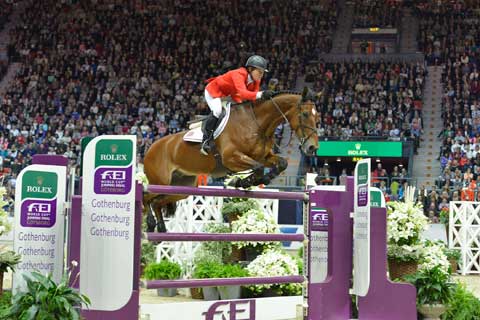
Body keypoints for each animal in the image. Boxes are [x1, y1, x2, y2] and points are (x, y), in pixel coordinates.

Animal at [144, 89, 320, 231]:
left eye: (317, 117)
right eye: (305, 114)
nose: (312, 147)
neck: (257, 123)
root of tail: (150, 147)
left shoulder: (263, 157)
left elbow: (281, 163)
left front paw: (255, 180)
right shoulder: (230, 158)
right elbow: (258, 168)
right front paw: (242, 181)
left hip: (182, 187)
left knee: (158, 202)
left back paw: (161, 229)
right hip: (160, 181)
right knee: (147, 197)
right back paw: (151, 223)